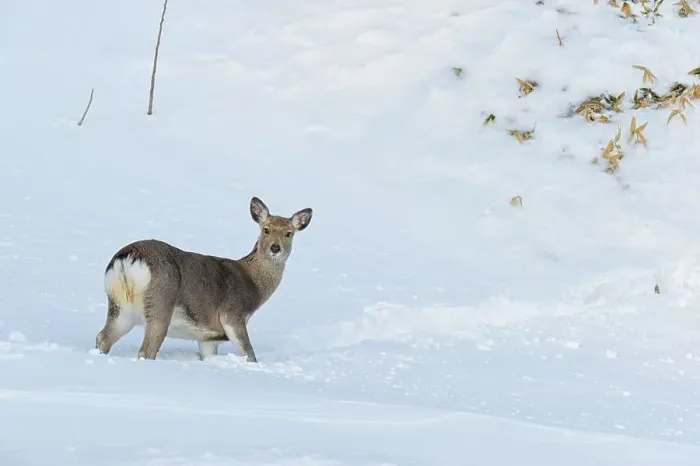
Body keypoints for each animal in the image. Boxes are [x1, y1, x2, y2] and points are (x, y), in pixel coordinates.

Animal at [94, 196, 313, 362]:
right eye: (266, 229)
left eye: (289, 233)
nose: (275, 248)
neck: (254, 285)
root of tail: (128, 259)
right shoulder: (233, 313)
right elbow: (249, 354)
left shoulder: (208, 337)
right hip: (160, 302)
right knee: (146, 350)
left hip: (120, 307)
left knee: (103, 337)